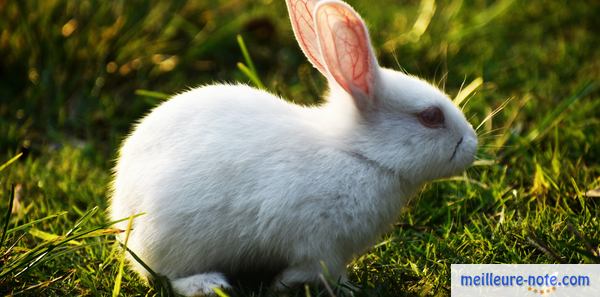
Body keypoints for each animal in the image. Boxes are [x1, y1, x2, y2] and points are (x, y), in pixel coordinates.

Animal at [110, 1, 478, 294]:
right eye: (431, 117)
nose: (472, 145)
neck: (358, 154)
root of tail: (121, 209)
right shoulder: (321, 246)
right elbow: (317, 271)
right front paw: (314, 286)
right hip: (172, 241)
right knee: (166, 275)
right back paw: (208, 284)